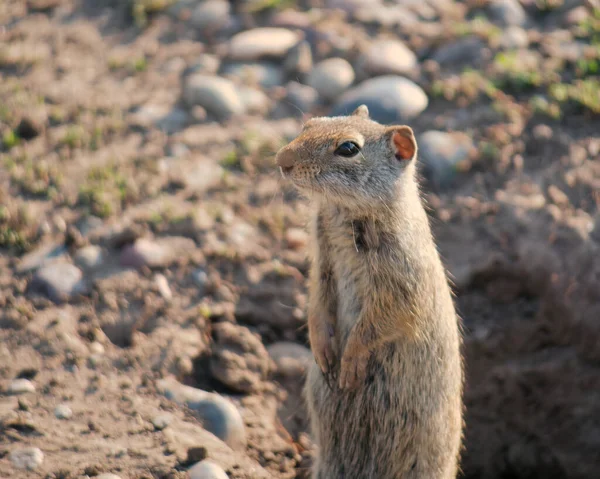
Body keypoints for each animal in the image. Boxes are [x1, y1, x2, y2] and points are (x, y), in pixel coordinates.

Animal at [276, 106, 464, 479]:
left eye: (348, 148)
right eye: (308, 125)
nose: (281, 160)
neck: (341, 210)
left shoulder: (402, 286)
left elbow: (376, 324)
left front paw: (349, 363)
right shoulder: (322, 263)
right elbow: (317, 302)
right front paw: (322, 351)